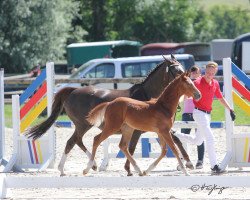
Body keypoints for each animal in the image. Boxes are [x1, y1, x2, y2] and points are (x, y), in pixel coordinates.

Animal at [25, 55, 189, 177]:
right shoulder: (139, 131)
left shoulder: (159, 128)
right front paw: (130, 169)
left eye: (181, 68)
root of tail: (73, 90)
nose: (187, 79)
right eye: (175, 70)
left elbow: (176, 140)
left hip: (82, 125)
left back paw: (90, 166)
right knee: (73, 142)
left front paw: (187, 162)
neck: (148, 96)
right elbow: (131, 148)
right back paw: (67, 169)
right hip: (83, 124)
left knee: (76, 141)